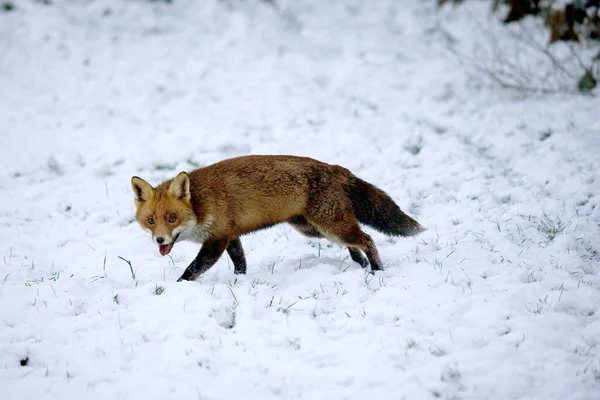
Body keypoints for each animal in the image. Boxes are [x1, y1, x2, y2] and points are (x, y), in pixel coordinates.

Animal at [131, 154, 424, 282]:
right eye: (151, 221)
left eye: (172, 218)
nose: (160, 240)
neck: (202, 204)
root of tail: (334, 167)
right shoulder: (230, 236)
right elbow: (240, 264)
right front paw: (240, 283)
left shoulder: (217, 240)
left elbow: (191, 270)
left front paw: (178, 287)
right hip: (315, 229)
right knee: (355, 243)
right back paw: (360, 265)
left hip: (331, 226)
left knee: (367, 238)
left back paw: (376, 270)